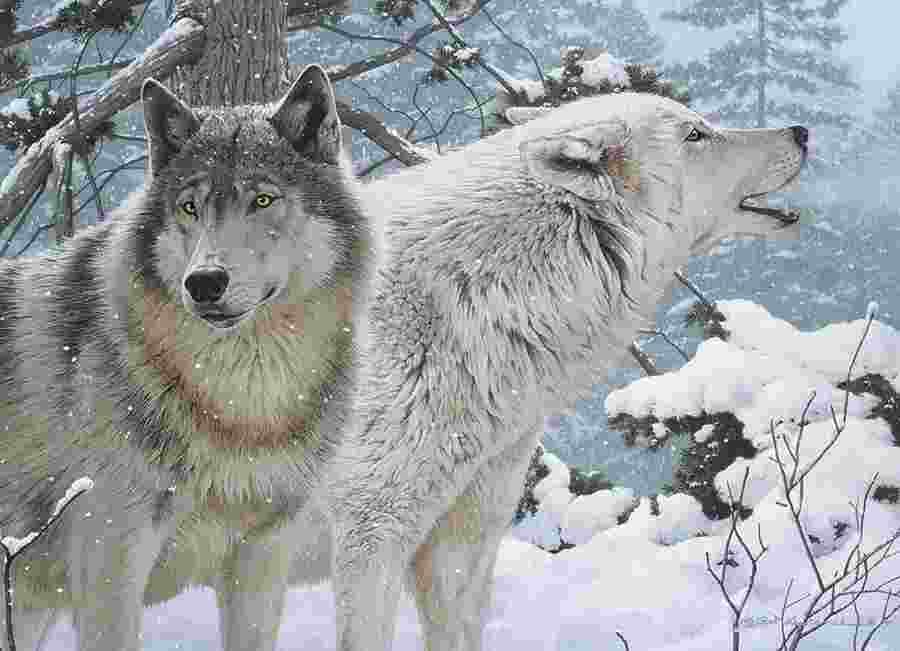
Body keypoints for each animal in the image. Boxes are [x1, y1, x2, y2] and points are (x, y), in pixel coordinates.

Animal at [0, 65, 368, 650]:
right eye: (190, 207)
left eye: (262, 200)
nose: (205, 282)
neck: (244, 401)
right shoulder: (110, 563)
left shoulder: (264, 554)